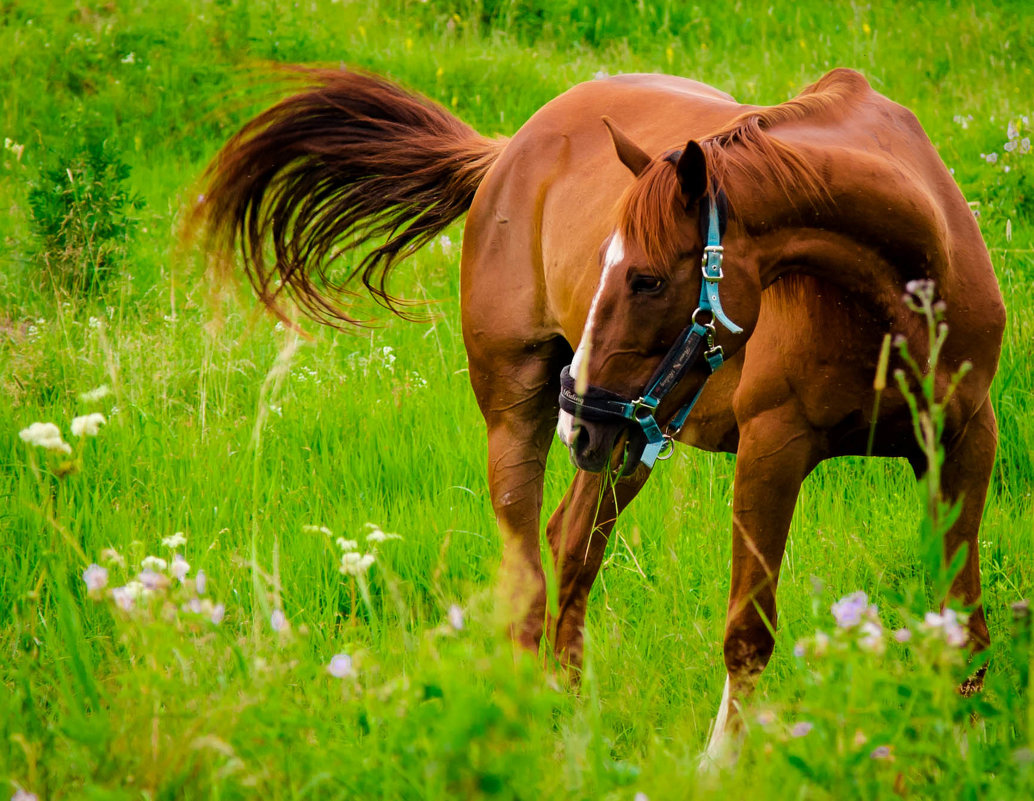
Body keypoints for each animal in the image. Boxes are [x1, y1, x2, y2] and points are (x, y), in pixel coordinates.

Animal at [197, 67, 1005, 756]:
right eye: (606, 265)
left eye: (646, 279)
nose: (575, 415)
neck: (901, 288)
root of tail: (506, 150)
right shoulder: (773, 450)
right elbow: (749, 631)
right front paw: (722, 763)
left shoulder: (965, 444)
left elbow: (962, 625)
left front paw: (960, 750)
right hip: (525, 411)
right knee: (529, 565)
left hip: (629, 441)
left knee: (573, 546)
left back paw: (571, 707)